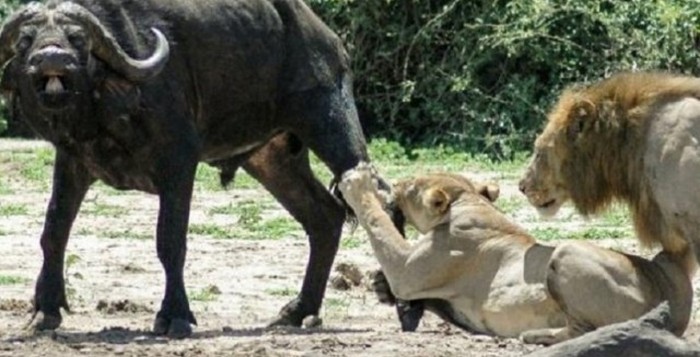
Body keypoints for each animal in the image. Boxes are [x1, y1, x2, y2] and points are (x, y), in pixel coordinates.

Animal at [0, 0, 388, 336]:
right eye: (26, 40)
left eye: (77, 39)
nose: (52, 57)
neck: (106, 108)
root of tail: (329, 40)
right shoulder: (73, 163)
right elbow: (54, 232)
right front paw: (45, 310)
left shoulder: (179, 162)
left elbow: (170, 241)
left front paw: (174, 316)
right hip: (272, 158)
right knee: (324, 216)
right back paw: (298, 309)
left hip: (331, 121)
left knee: (369, 199)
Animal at [340, 165, 696, 344]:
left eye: (411, 185)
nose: (396, 183)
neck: (467, 201)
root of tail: (666, 291)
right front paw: (380, 287)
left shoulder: (410, 271)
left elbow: (379, 222)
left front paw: (357, 184)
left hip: (565, 251)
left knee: (590, 330)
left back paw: (537, 336)